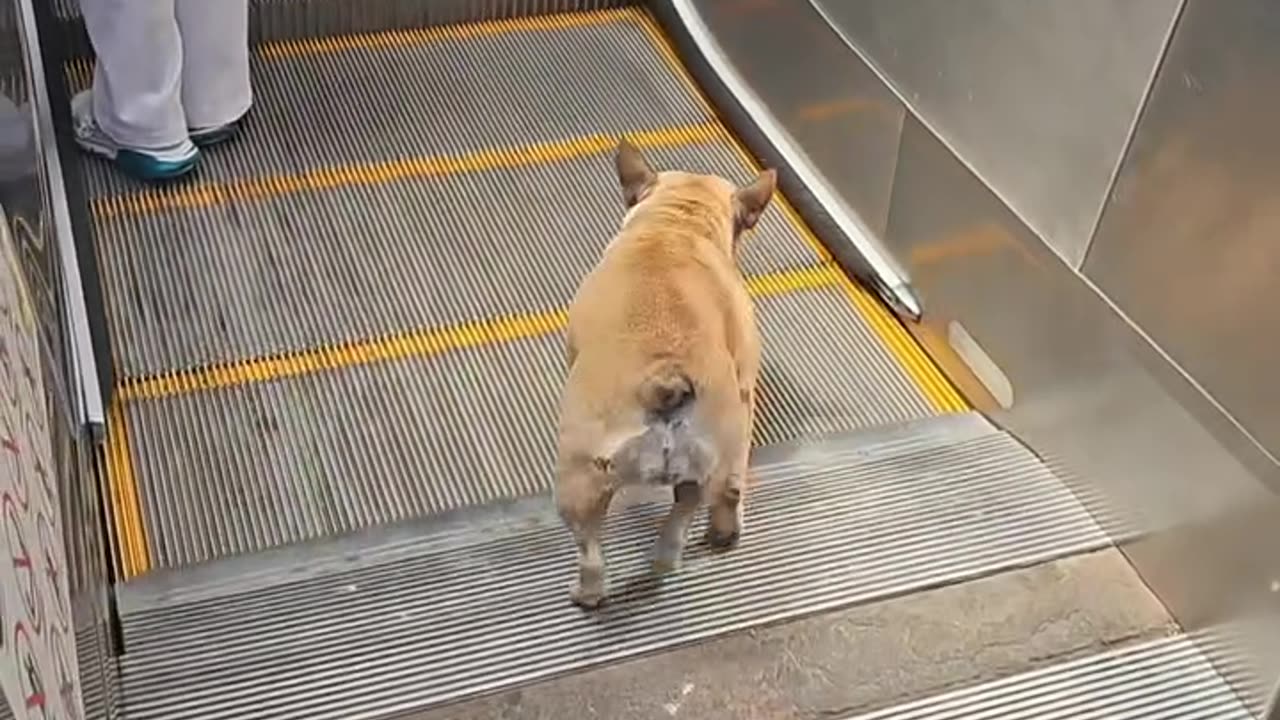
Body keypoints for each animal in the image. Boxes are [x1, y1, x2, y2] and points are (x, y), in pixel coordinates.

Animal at [552, 135, 773, 604]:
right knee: (693, 509)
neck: (677, 225)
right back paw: (682, 553)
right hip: (705, 460)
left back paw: (587, 594)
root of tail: (664, 379)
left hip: (577, 480)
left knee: (589, 550)